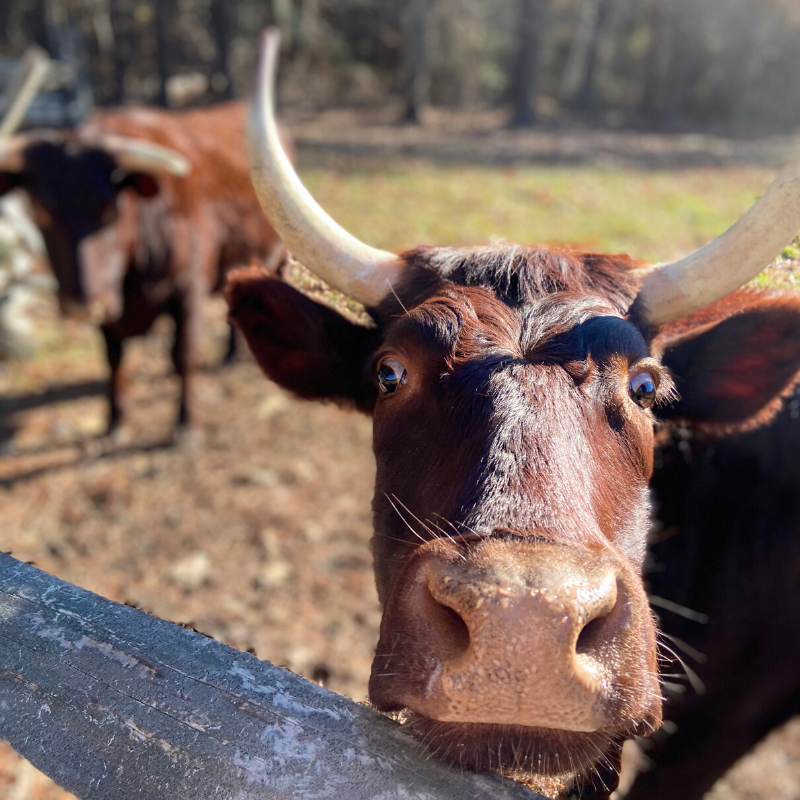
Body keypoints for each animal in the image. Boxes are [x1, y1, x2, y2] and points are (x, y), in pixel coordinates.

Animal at [0, 101, 287, 436]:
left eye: (110, 209)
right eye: (41, 211)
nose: (84, 304)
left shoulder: (187, 292)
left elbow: (184, 354)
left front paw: (186, 422)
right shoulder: (110, 307)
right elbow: (114, 358)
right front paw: (116, 420)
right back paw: (228, 355)